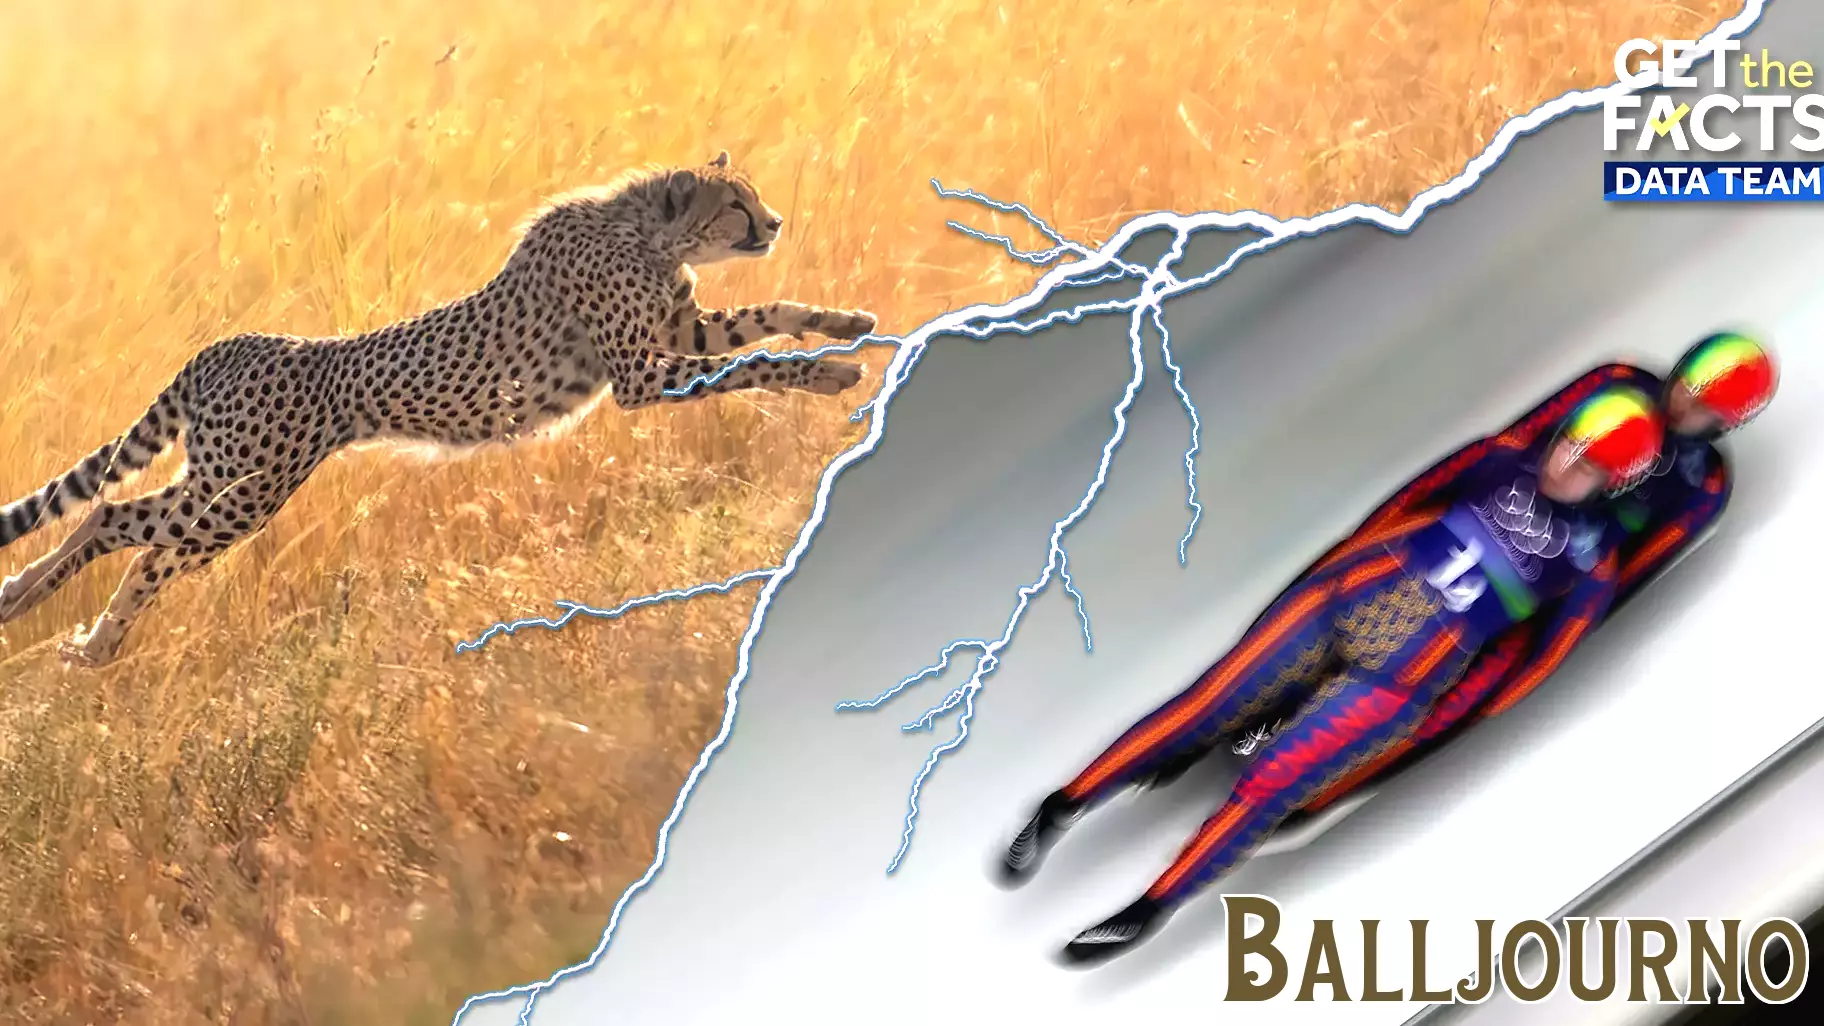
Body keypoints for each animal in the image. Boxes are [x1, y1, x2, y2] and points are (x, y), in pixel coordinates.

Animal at [0, 150, 879, 666]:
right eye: (735, 204)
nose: (773, 222)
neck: (646, 234)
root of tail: (229, 344)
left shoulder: (677, 331)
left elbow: (765, 315)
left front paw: (844, 325)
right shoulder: (639, 373)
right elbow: (753, 360)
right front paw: (829, 371)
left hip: (229, 491)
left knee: (146, 547)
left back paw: (91, 643)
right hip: (245, 490)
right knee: (114, 517)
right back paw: (29, 601)